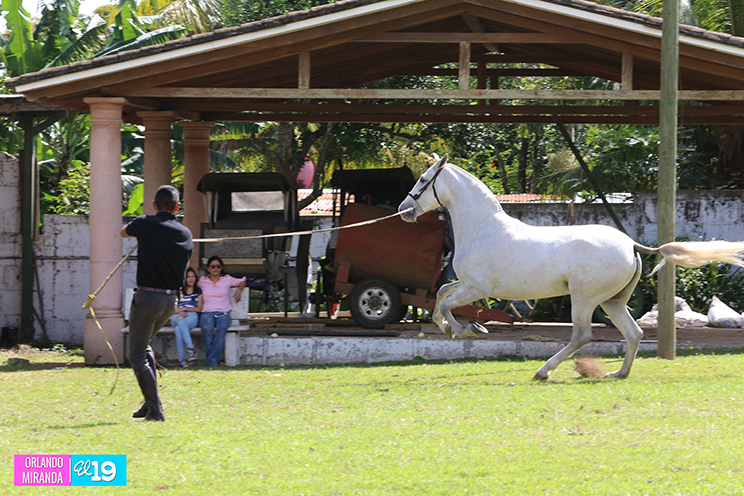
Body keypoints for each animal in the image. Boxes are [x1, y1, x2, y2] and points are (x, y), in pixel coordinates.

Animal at [398, 154, 744, 380]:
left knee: (582, 335)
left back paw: (544, 371)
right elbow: (440, 295)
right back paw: (618, 373)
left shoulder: (477, 288)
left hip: (584, 299)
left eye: (424, 180)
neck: (483, 228)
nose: (404, 210)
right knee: (632, 333)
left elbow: (445, 303)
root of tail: (631, 245)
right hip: (612, 302)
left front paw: (464, 330)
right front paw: (452, 328)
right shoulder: (467, 284)